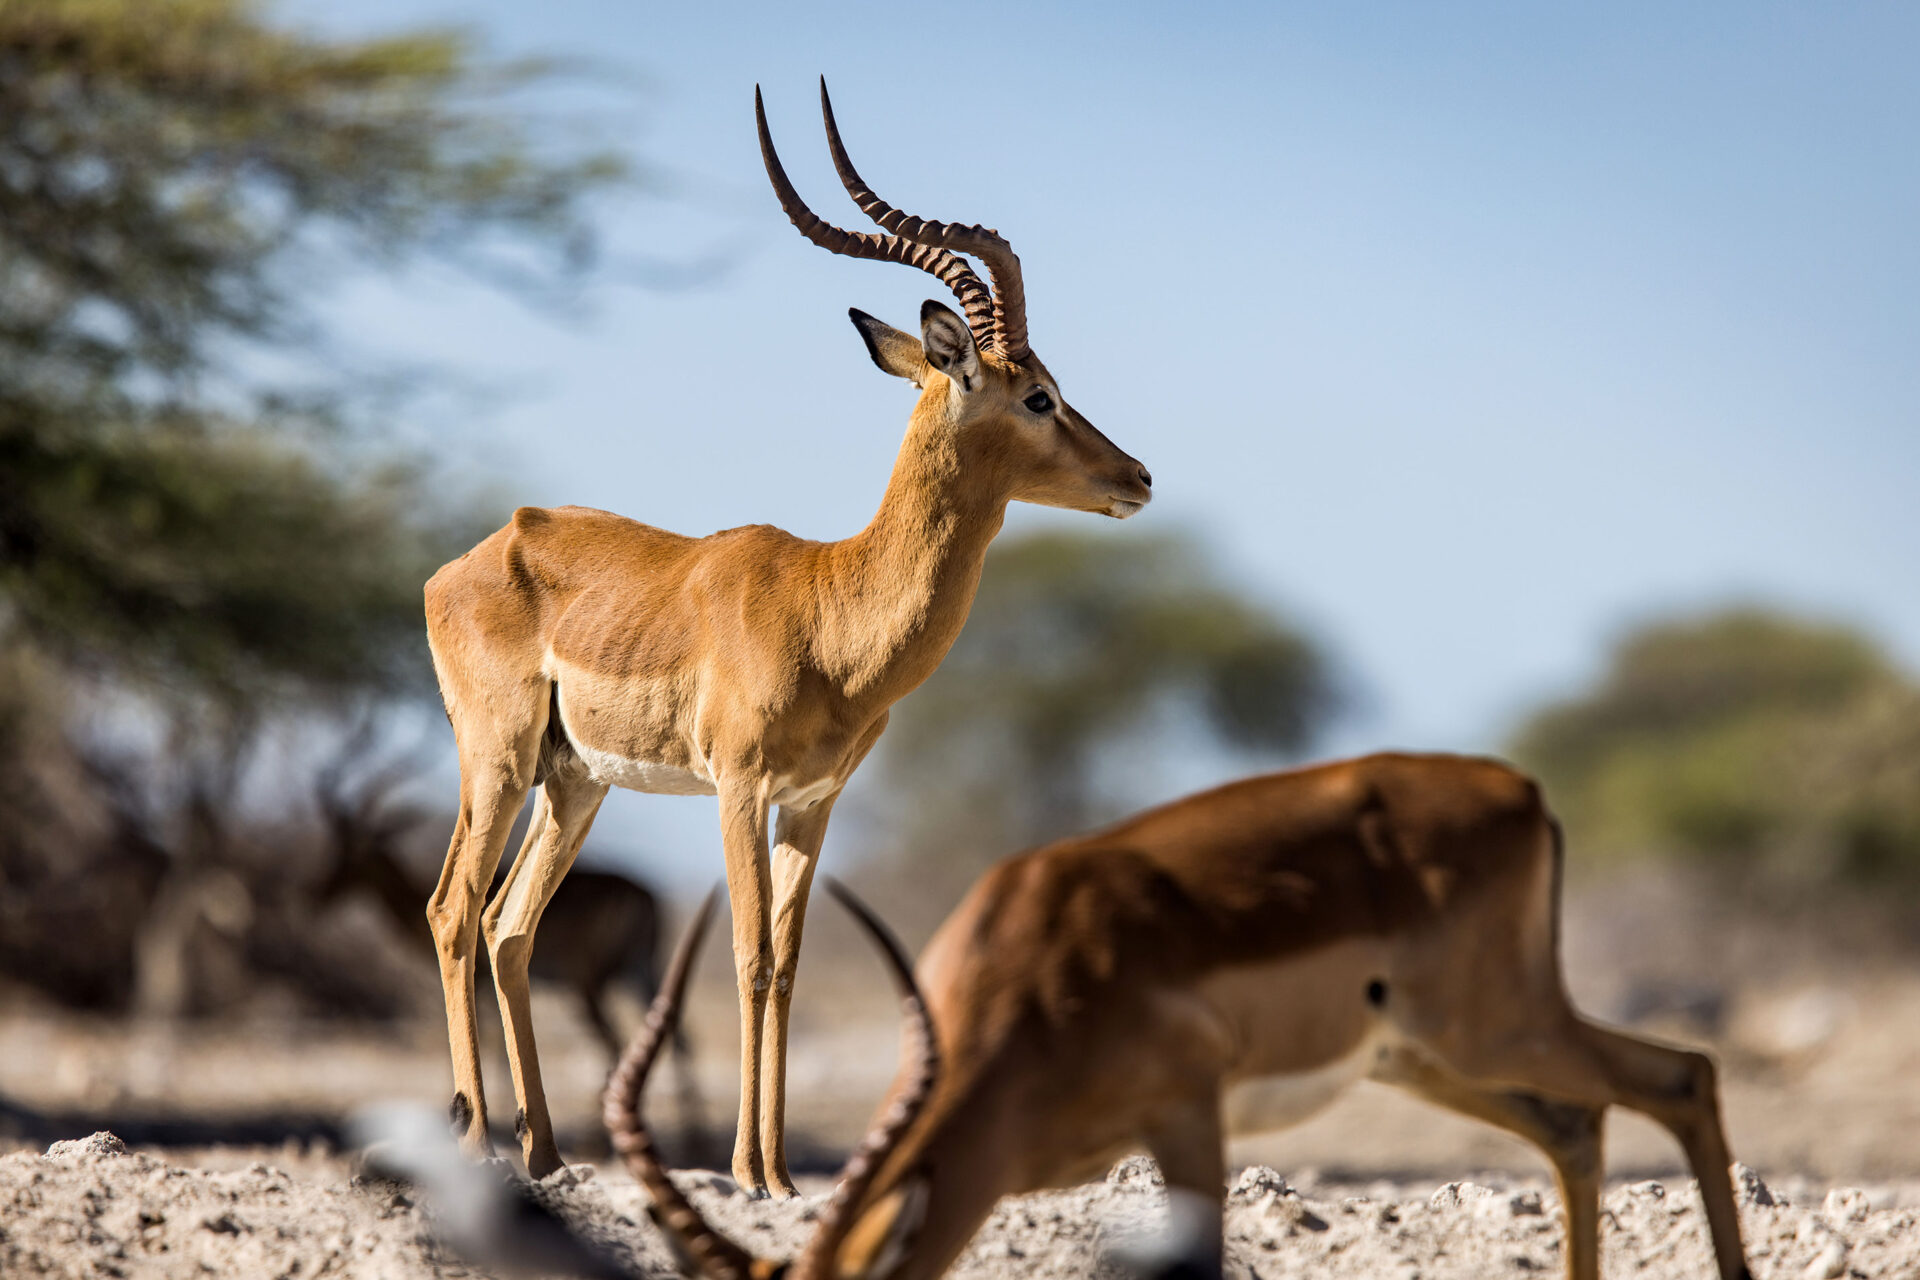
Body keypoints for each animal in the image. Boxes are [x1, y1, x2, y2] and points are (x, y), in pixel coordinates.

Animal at [422, 79, 1153, 1192]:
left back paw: (544, 1151)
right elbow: (750, 957)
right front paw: (747, 1169)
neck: (830, 608)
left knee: (510, 927)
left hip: (574, 780)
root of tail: (481, 549)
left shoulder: (813, 802)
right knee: (456, 912)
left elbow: (793, 964)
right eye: (1038, 393)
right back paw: (474, 1141)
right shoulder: (738, 787)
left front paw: (777, 1171)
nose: (1137, 476)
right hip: (497, 760)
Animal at [611, 753, 1754, 1280]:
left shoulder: (1189, 1113)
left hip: (1494, 1025)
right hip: (1427, 1059)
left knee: (1683, 1074)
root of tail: (1520, 787)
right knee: (1578, 1125)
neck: (1035, 976)